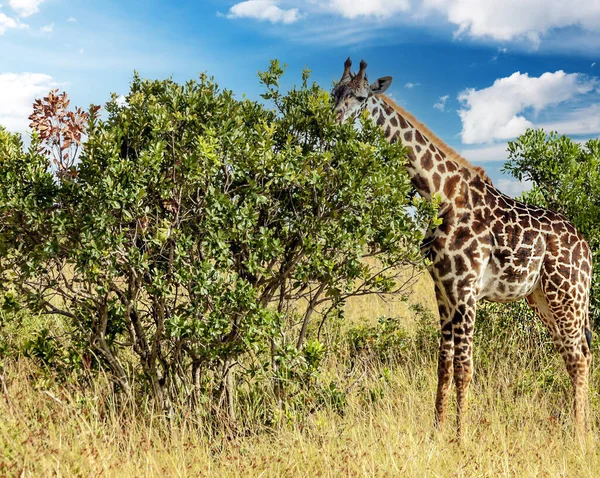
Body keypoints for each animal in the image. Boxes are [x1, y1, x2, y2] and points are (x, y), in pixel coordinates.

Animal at [330, 58, 592, 436]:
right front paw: (438, 429)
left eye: (362, 97)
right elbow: (443, 363)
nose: (334, 121)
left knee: (580, 355)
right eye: (334, 92)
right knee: (573, 353)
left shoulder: (467, 289)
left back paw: (580, 432)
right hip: (541, 297)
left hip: (567, 294)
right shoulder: (442, 288)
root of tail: (585, 246)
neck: (439, 195)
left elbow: (464, 367)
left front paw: (460, 435)